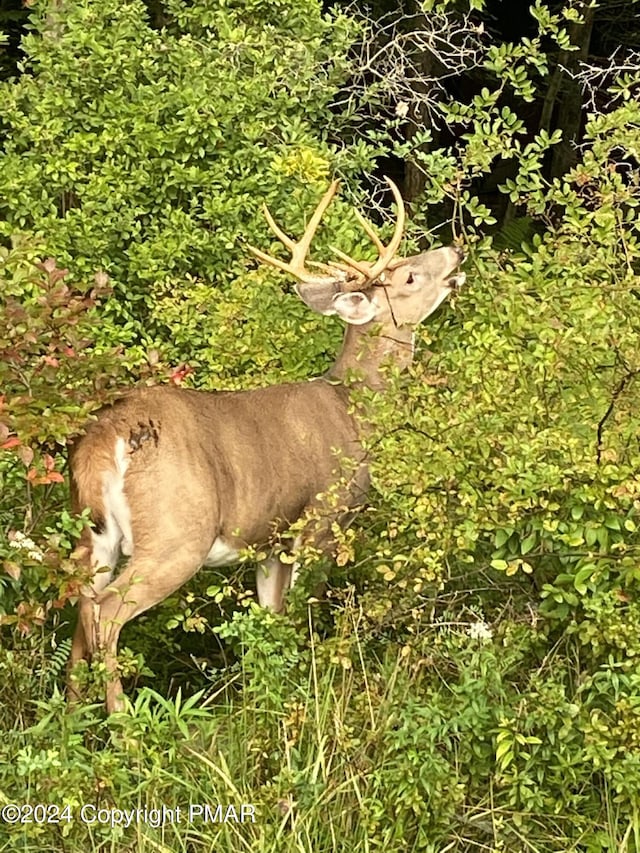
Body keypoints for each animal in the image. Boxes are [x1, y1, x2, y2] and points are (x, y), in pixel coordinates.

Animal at [66, 176, 464, 708]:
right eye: (409, 278)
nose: (456, 252)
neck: (354, 409)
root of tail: (108, 434)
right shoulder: (321, 520)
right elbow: (299, 612)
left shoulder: (271, 542)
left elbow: (271, 617)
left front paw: (265, 697)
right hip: (176, 533)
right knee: (106, 611)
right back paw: (122, 718)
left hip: (93, 535)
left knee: (80, 605)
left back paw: (71, 711)